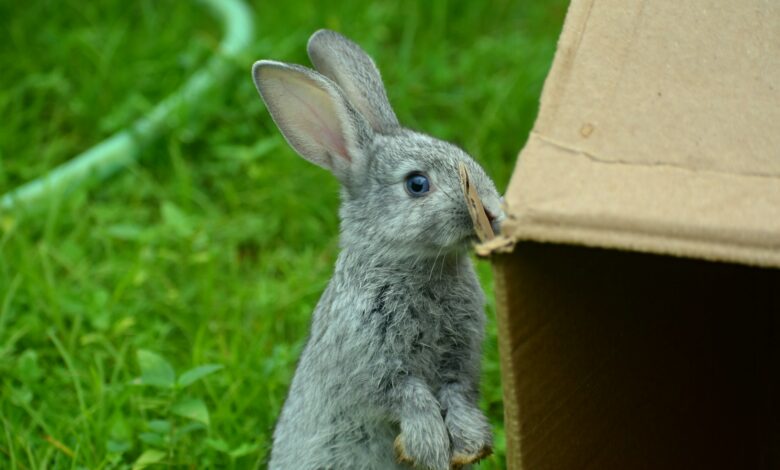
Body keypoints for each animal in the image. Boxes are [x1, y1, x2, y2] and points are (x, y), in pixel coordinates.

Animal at [253, 29, 502, 470]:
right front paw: (430, 448)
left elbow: (457, 396)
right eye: (417, 184)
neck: (412, 265)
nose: (492, 211)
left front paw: (469, 445)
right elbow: (411, 398)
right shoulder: (375, 360)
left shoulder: (459, 362)